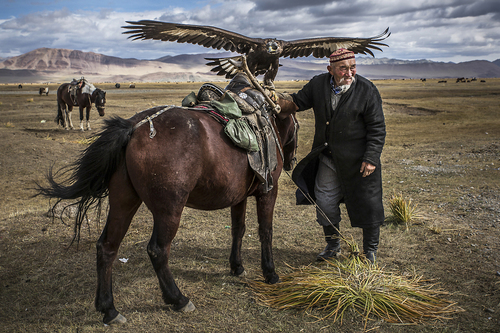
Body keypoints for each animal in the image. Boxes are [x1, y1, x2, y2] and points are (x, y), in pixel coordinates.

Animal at [38, 80, 300, 324]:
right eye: (297, 125)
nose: (290, 162)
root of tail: (134, 127)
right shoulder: (269, 191)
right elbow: (265, 231)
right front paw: (270, 273)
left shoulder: (239, 196)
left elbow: (238, 229)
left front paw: (236, 266)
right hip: (169, 210)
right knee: (157, 250)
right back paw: (178, 299)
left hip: (123, 202)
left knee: (107, 246)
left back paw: (109, 309)